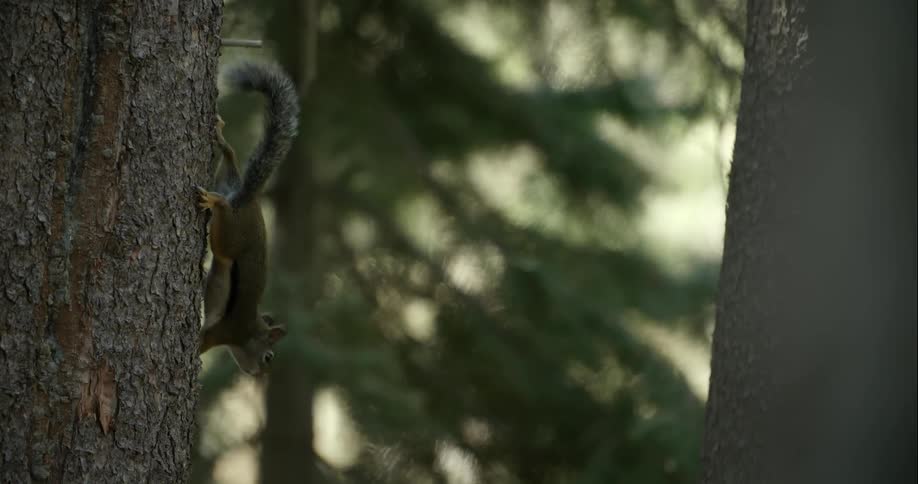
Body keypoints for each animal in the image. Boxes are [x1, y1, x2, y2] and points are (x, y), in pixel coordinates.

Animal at [196, 62, 299, 376]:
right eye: (269, 357)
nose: (257, 374)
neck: (250, 332)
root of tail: (245, 197)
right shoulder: (225, 331)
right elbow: (202, 342)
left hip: (225, 181)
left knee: (230, 156)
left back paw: (219, 135)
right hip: (230, 235)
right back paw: (214, 201)